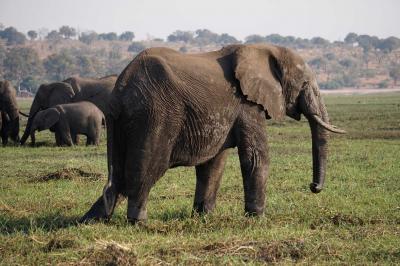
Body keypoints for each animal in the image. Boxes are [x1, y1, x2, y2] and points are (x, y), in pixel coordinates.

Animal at [80, 44, 344, 223]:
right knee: (147, 167)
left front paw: (203, 217)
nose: (313, 187)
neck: (262, 49)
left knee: (118, 176)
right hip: (154, 113)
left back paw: (91, 220)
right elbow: (255, 158)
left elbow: (214, 163)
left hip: (123, 121)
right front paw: (257, 219)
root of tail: (122, 86)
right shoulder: (247, 104)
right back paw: (138, 222)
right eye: (306, 84)